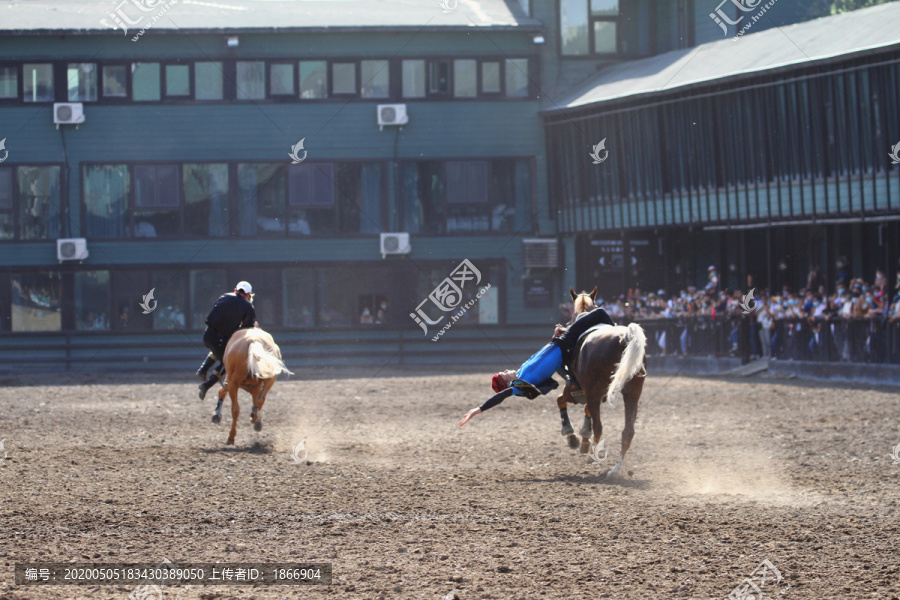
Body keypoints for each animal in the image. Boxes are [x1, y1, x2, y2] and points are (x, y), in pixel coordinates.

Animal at [556, 286, 648, 478]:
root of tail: (623, 338)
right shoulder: (597, 396)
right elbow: (586, 412)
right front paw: (583, 437)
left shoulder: (576, 391)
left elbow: (560, 400)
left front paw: (572, 435)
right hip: (632, 394)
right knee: (628, 432)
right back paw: (614, 470)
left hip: (592, 393)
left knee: (599, 427)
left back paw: (592, 456)